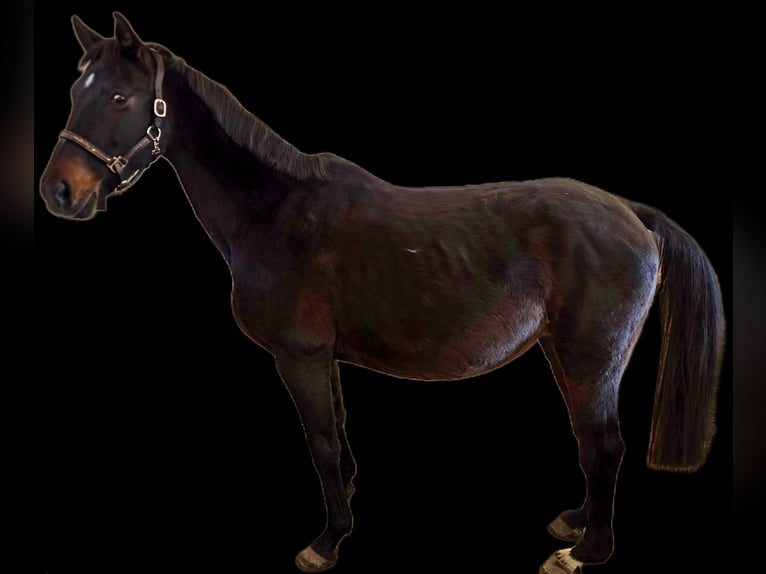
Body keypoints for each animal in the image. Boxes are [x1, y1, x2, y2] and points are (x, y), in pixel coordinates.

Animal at [38, 13, 726, 574]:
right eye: (75, 91)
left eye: (120, 97)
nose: (58, 192)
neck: (277, 211)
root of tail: (632, 213)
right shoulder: (325, 359)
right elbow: (339, 441)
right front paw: (344, 513)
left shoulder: (300, 357)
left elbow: (319, 444)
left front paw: (326, 543)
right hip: (564, 355)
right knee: (591, 444)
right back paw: (576, 521)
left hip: (591, 361)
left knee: (604, 445)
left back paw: (586, 552)